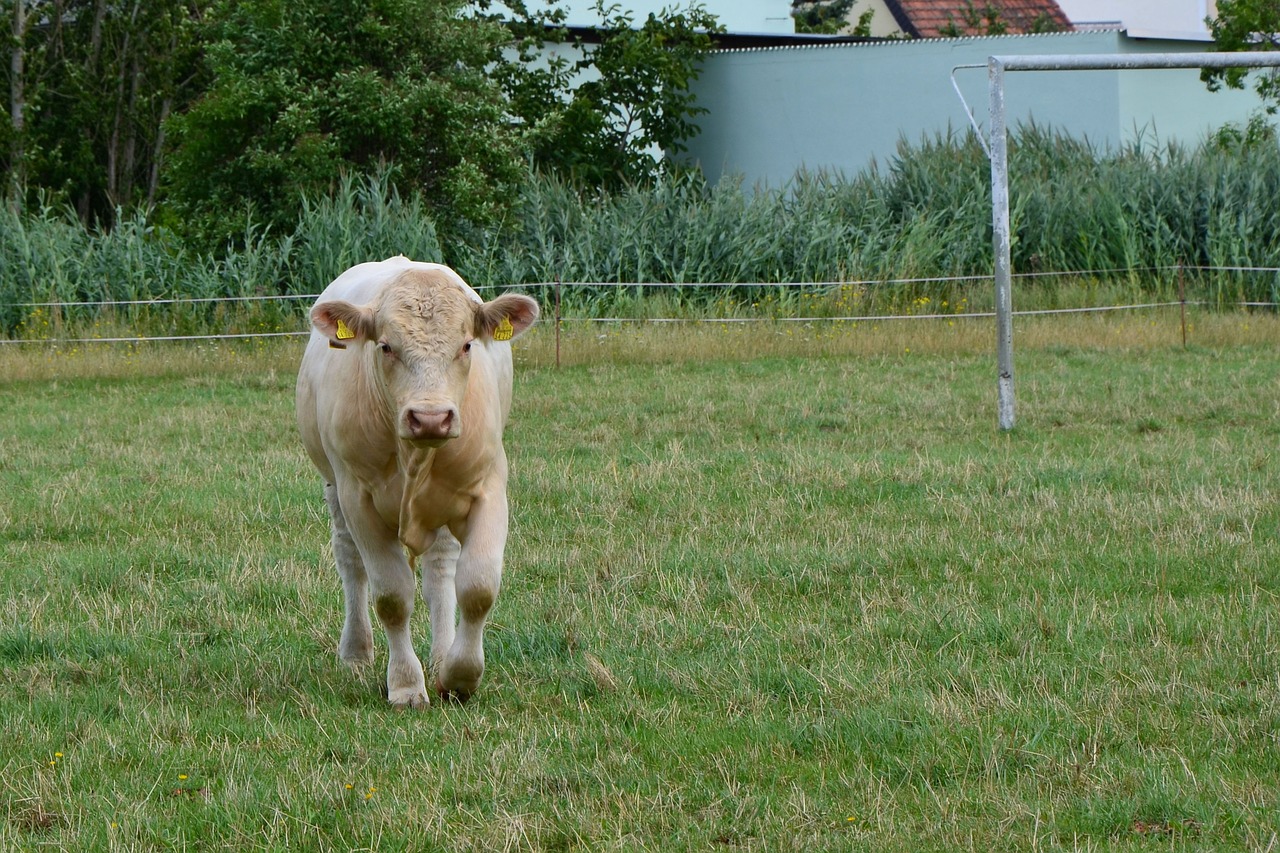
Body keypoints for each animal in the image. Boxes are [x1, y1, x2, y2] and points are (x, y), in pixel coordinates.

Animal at [296, 256, 537, 706]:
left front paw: (459, 675)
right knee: (350, 562)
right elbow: (392, 595)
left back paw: (442, 653)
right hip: (334, 489)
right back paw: (356, 654)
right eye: (386, 346)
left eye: (466, 345)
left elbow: (478, 586)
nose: (430, 418)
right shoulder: (358, 499)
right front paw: (406, 684)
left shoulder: (489, 488)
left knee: (441, 570)